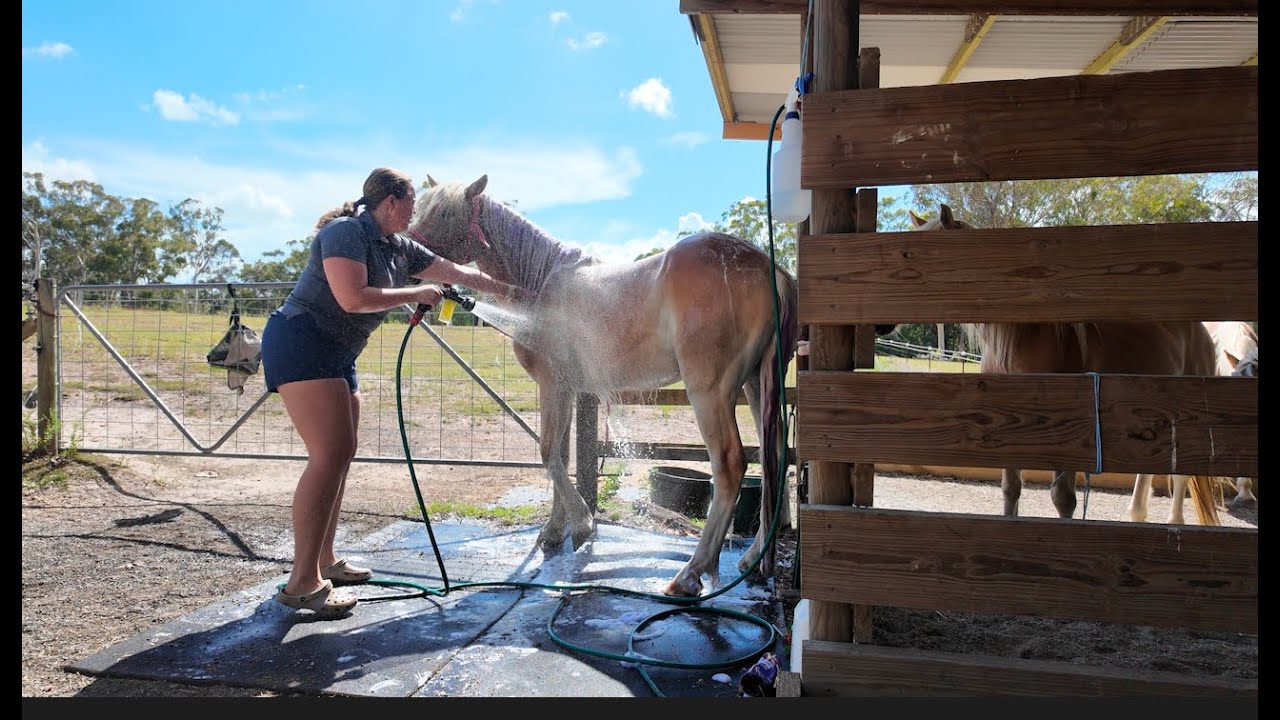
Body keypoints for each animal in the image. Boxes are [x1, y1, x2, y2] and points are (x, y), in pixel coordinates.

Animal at [408, 174, 799, 597]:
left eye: (445, 213)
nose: (405, 260)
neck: (542, 284)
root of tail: (769, 267)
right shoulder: (564, 391)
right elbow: (559, 457)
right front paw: (554, 532)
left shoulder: (554, 386)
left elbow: (549, 454)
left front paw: (582, 526)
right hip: (756, 387)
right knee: (775, 458)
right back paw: (752, 559)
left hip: (711, 392)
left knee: (730, 464)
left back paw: (690, 574)